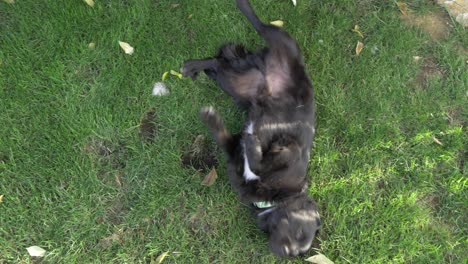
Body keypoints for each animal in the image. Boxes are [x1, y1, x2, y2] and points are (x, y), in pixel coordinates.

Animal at [181, 0, 320, 256]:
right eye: (299, 232)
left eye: (297, 252)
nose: (285, 252)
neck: (274, 198)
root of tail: (263, 66)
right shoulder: (292, 150)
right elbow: (262, 160)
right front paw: (254, 143)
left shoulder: (232, 149)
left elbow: (222, 135)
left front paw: (211, 117)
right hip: (282, 40)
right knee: (260, 24)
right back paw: (243, 6)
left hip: (236, 82)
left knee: (217, 63)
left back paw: (193, 66)